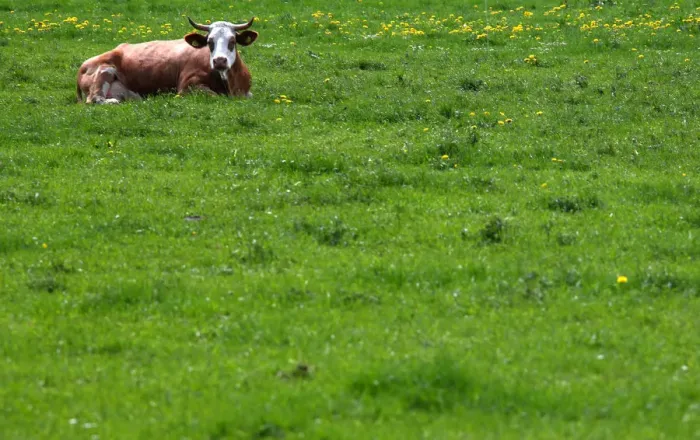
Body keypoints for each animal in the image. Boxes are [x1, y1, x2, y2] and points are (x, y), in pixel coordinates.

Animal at [76, 17, 258, 104]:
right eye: (209, 42)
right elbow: (215, 96)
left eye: (232, 41)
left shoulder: (246, 92)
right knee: (95, 99)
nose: (219, 61)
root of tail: (83, 65)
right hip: (104, 71)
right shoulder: (186, 87)